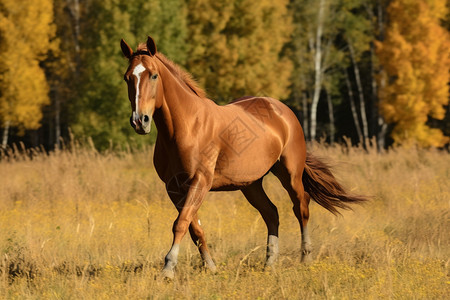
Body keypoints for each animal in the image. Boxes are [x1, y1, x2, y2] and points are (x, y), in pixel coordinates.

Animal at [121, 37, 368, 278]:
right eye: (127, 77)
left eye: (153, 75)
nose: (139, 121)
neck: (187, 126)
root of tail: (282, 110)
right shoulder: (173, 187)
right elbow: (194, 226)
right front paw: (211, 267)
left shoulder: (200, 181)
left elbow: (181, 223)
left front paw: (168, 269)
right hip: (251, 184)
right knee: (271, 213)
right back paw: (270, 263)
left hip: (290, 174)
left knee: (301, 207)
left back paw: (305, 258)